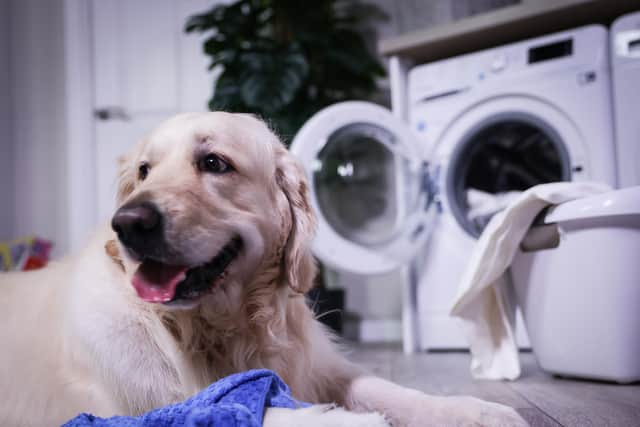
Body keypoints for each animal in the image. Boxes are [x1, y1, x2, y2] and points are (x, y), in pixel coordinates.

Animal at [0, 112, 524, 426]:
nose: (128, 222)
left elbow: (385, 388)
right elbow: (273, 412)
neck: (218, 330)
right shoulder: (134, 411)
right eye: (145, 171)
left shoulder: (320, 367)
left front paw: (477, 410)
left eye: (214, 162)